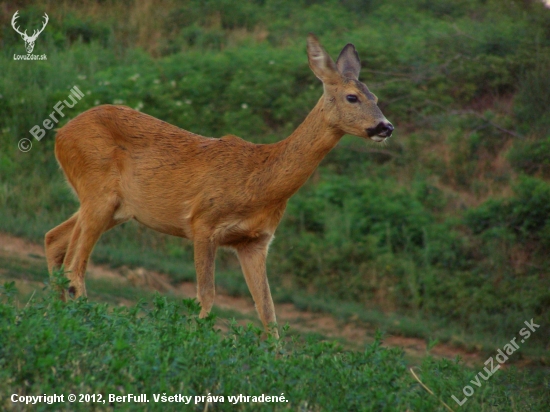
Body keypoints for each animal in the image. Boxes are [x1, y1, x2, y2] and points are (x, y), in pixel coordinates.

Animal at [46, 34, 392, 338]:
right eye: (352, 96)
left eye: (376, 98)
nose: (386, 127)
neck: (259, 181)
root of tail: (61, 134)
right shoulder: (202, 222)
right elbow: (207, 295)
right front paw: (191, 343)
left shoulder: (255, 242)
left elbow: (268, 312)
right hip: (98, 191)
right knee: (74, 266)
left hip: (116, 207)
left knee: (54, 240)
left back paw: (59, 316)